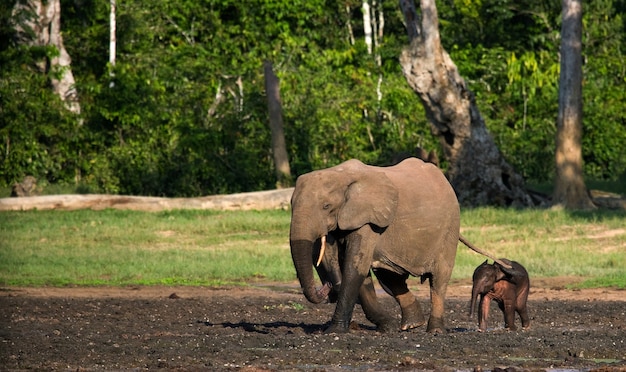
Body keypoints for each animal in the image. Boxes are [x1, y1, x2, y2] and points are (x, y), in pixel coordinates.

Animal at [288, 158, 458, 332]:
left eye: (326, 206)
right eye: (291, 205)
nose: (326, 286)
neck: (341, 175)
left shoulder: (368, 219)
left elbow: (354, 266)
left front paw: (334, 330)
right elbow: (353, 268)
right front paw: (388, 327)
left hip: (450, 228)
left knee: (439, 279)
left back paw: (435, 330)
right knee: (390, 276)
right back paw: (412, 324)